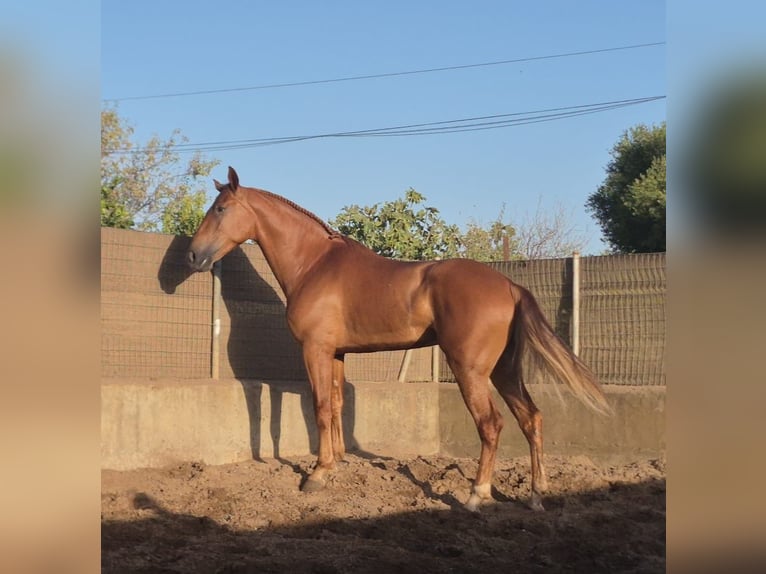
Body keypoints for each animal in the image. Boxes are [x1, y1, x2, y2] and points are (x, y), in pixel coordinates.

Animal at [186, 166, 611, 512]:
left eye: (220, 209)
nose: (193, 256)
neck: (314, 264)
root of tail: (509, 285)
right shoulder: (337, 353)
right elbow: (336, 406)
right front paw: (336, 463)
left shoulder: (314, 350)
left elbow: (318, 408)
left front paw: (316, 475)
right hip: (504, 371)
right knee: (531, 418)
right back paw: (537, 495)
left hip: (471, 370)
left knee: (491, 424)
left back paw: (476, 495)